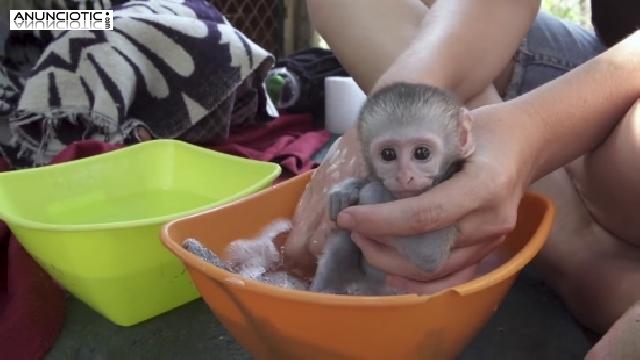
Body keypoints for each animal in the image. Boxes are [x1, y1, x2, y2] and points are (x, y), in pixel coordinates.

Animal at [310, 81, 476, 296]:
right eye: (388, 154)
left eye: (422, 153)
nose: (404, 177)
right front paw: (345, 192)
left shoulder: (448, 198)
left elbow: (428, 253)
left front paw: (369, 192)